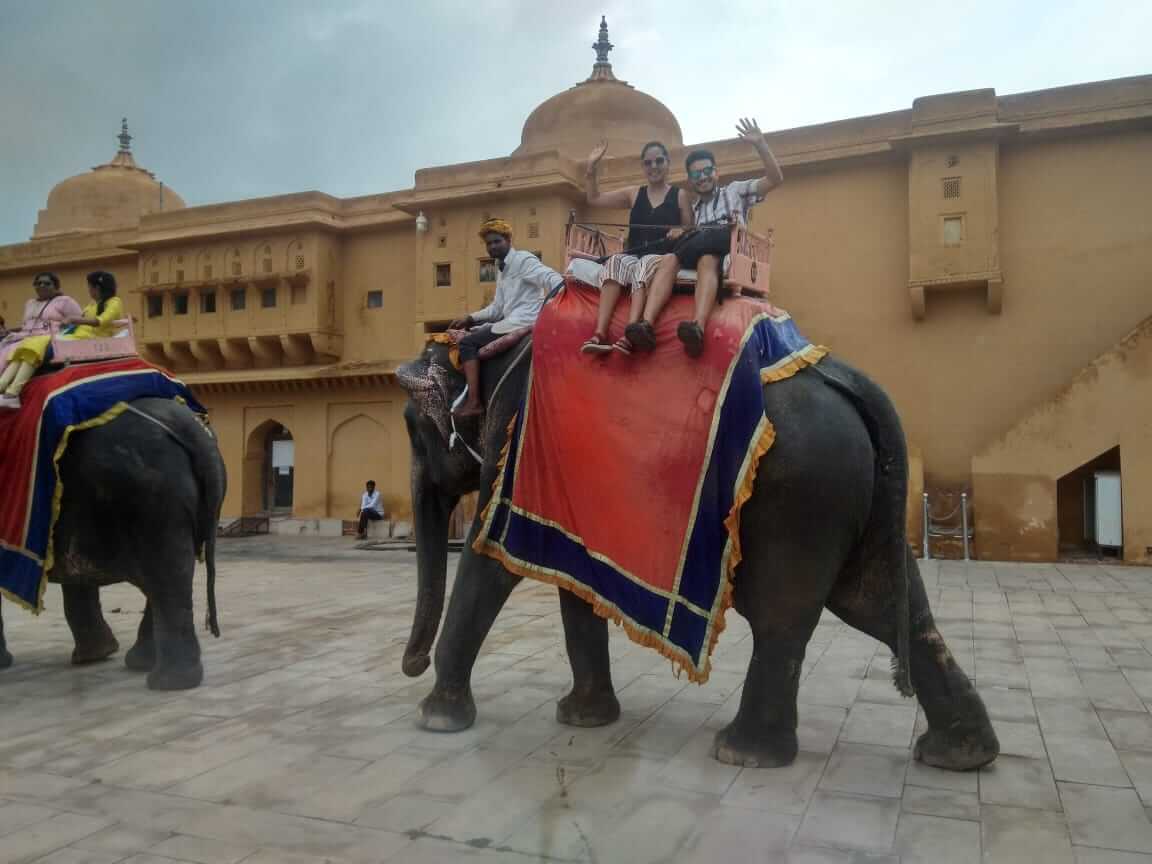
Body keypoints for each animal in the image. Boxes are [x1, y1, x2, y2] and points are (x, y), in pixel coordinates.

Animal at [0, 398, 224, 691]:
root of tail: (191, 427)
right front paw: (98, 655)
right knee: (167, 576)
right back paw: (142, 664)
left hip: (147, 497)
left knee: (164, 578)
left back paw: (167, 682)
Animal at [396, 340, 999, 774]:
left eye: (412, 431)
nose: (411, 665)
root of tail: (854, 382)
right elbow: (571, 576)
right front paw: (584, 720)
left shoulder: (515, 440)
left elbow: (491, 558)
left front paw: (437, 719)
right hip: (857, 495)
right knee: (881, 605)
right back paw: (961, 754)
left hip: (799, 498)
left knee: (783, 618)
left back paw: (744, 752)